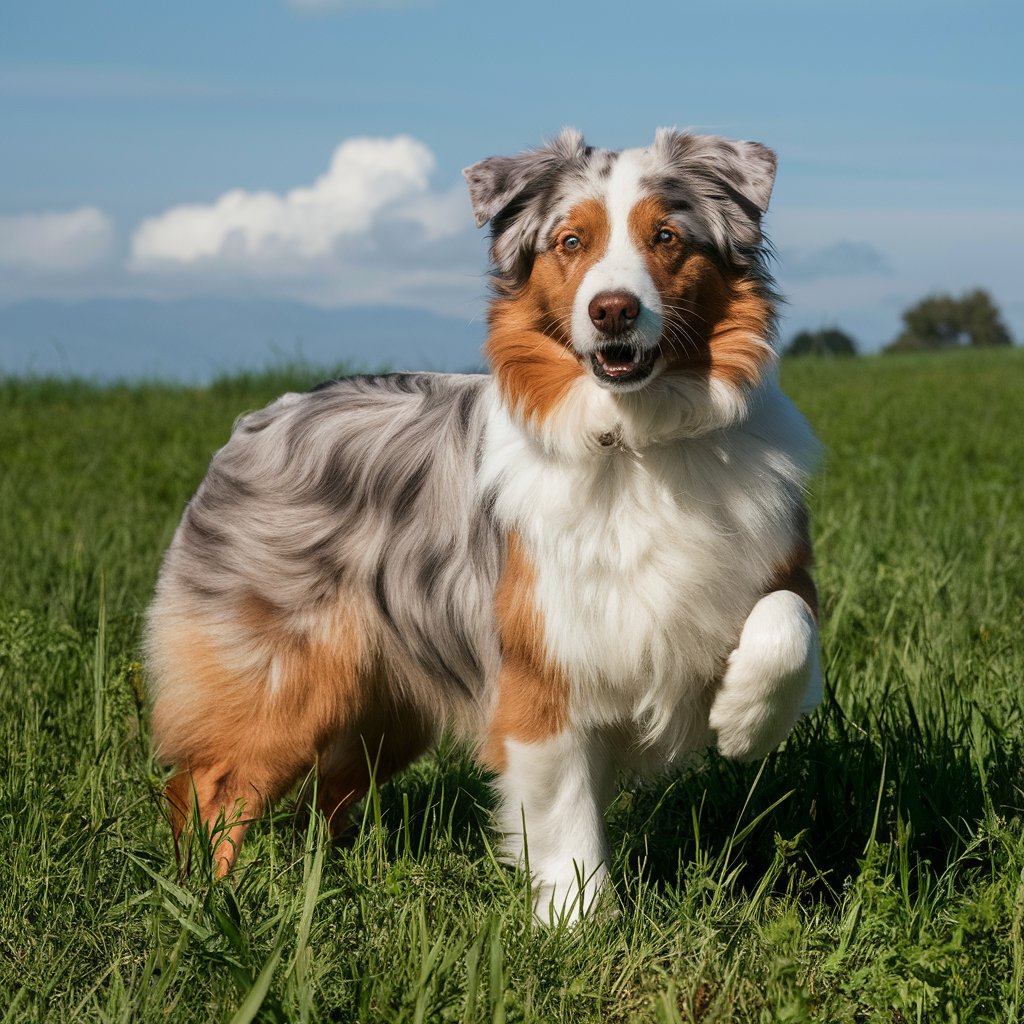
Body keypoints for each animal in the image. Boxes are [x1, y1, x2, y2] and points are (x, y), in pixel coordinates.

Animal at [146, 125, 823, 921]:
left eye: (667, 237)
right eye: (570, 242)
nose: (614, 310)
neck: (637, 443)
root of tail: (263, 416)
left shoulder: (776, 567)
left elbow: (786, 626)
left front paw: (744, 723)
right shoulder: (539, 663)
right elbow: (565, 819)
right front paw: (577, 928)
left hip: (387, 707)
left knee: (325, 790)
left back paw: (330, 879)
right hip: (285, 685)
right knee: (208, 787)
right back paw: (213, 905)